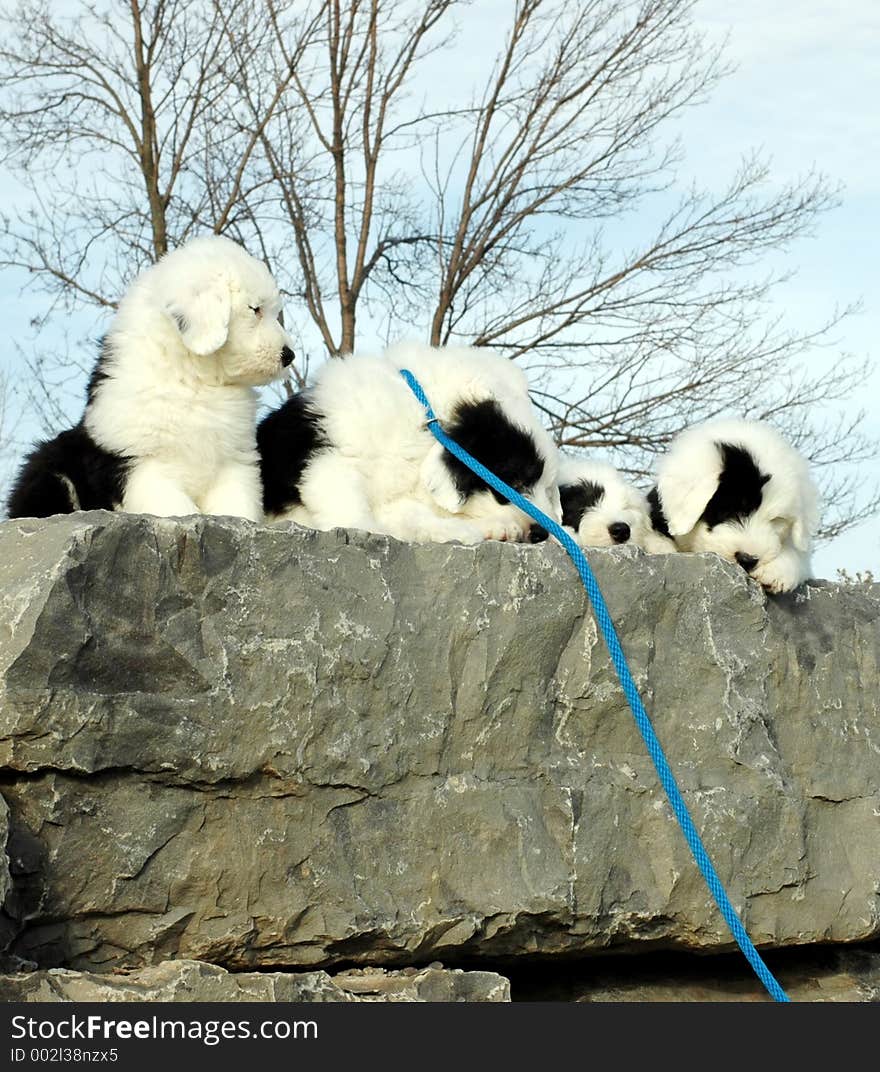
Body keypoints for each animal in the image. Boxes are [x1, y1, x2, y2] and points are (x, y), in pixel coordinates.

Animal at [5, 234, 293, 523]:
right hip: (50, 468)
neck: (194, 379)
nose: (288, 355)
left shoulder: (234, 461)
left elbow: (237, 507)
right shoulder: (138, 464)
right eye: (255, 309)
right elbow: (177, 507)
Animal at [257, 343, 561, 544]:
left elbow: (415, 515)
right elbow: (344, 498)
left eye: (547, 487)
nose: (541, 533)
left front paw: (492, 527)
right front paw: (363, 530)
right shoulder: (330, 451)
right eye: (516, 481)